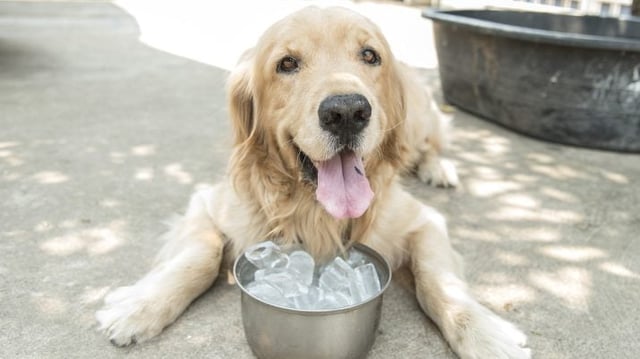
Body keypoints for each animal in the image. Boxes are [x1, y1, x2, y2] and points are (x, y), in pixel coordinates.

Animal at [96, 6, 528, 359]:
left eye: (369, 55)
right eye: (287, 63)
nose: (347, 112)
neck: (313, 208)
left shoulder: (423, 221)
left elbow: (438, 280)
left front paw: (485, 334)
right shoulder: (207, 203)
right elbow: (198, 256)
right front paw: (140, 305)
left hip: (421, 120)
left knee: (431, 145)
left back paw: (439, 169)